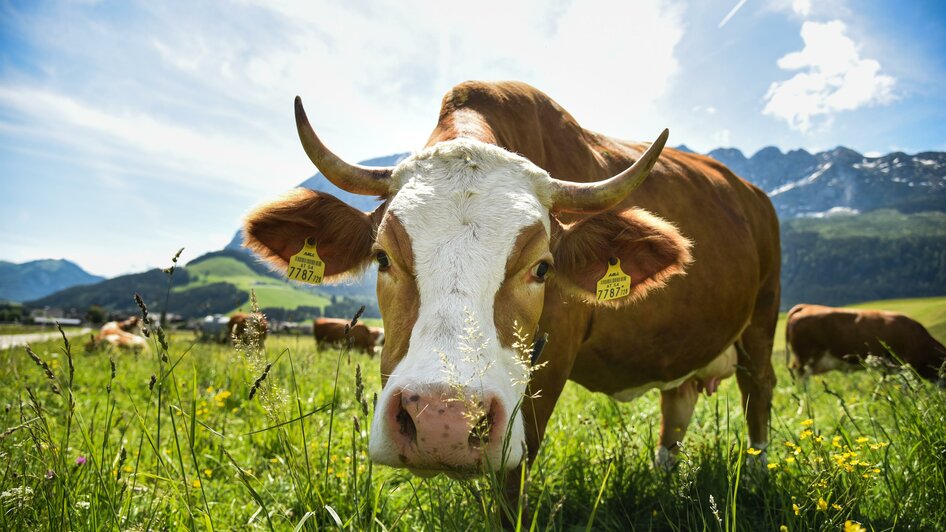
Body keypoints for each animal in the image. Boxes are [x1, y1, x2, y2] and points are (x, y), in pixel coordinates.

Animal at [243, 81, 780, 484]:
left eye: (542, 268)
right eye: (382, 257)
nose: (442, 421)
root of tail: (753, 194)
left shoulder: (547, 367)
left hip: (762, 318)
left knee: (758, 391)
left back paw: (757, 473)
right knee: (678, 404)